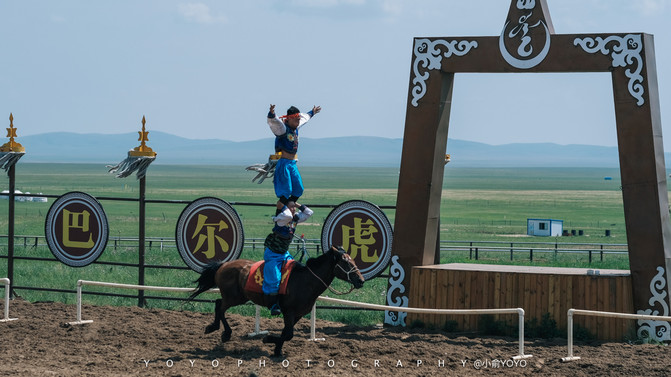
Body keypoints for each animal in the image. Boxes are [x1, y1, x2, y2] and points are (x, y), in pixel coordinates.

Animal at [186, 244, 364, 356]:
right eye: (345, 262)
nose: (360, 280)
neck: (304, 280)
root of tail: (223, 265)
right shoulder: (288, 311)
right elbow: (288, 334)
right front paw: (268, 339)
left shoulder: (297, 314)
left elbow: (286, 333)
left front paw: (277, 349)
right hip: (233, 297)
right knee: (220, 307)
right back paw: (221, 331)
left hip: (239, 297)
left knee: (218, 303)